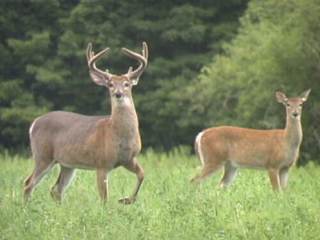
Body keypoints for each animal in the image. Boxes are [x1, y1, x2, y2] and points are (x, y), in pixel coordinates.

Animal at [24, 42, 149, 203]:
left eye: (127, 84)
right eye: (110, 84)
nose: (118, 94)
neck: (118, 134)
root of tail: (34, 123)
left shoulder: (129, 159)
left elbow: (142, 174)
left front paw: (126, 200)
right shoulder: (101, 163)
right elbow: (104, 198)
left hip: (66, 163)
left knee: (56, 189)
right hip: (43, 155)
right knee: (29, 183)